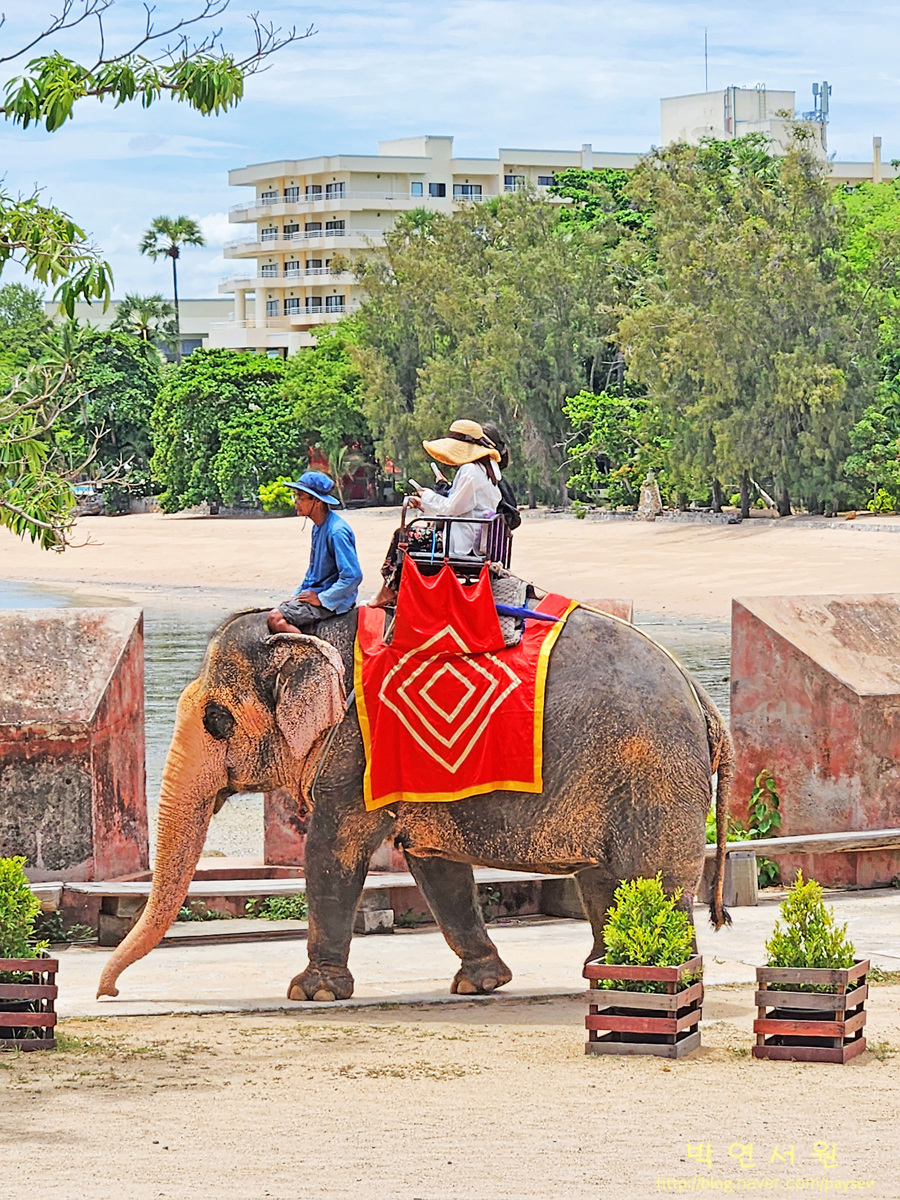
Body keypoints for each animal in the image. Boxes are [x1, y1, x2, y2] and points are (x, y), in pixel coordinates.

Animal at [98, 605, 732, 1002]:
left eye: (216, 719)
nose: (108, 992)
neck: (313, 630)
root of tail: (705, 702)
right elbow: (432, 862)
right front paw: (480, 984)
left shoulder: (357, 747)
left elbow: (332, 850)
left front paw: (311, 993)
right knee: (606, 881)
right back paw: (602, 977)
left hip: (655, 776)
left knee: (653, 880)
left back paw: (651, 981)